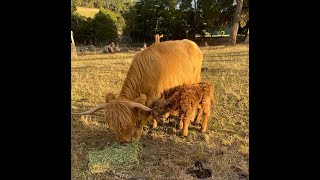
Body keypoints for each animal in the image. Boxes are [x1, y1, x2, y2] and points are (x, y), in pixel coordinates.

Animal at [74, 39, 202, 143]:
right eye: (112, 125)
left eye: (128, 123)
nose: (123, 141)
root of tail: (192, 43)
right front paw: (154, 124)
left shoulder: (152, 98)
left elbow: (143, 116)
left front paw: (136, 135)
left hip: (194, 81)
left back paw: (190, 121)